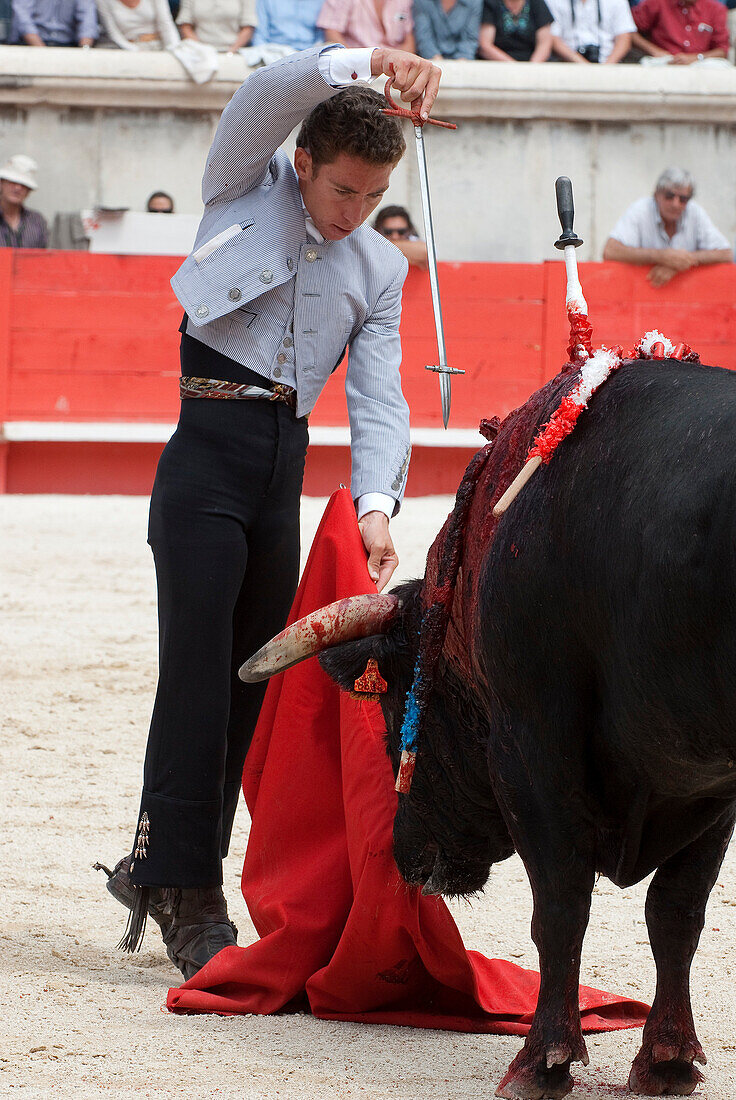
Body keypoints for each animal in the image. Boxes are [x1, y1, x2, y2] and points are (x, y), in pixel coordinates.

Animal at [248, 356, 734, 1095]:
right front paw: (667, 1061)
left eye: (394, 713)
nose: (406, 858)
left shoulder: (531, 748)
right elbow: (675, 911)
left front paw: (542, 1061)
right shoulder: (703, 780)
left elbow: (564, 903)